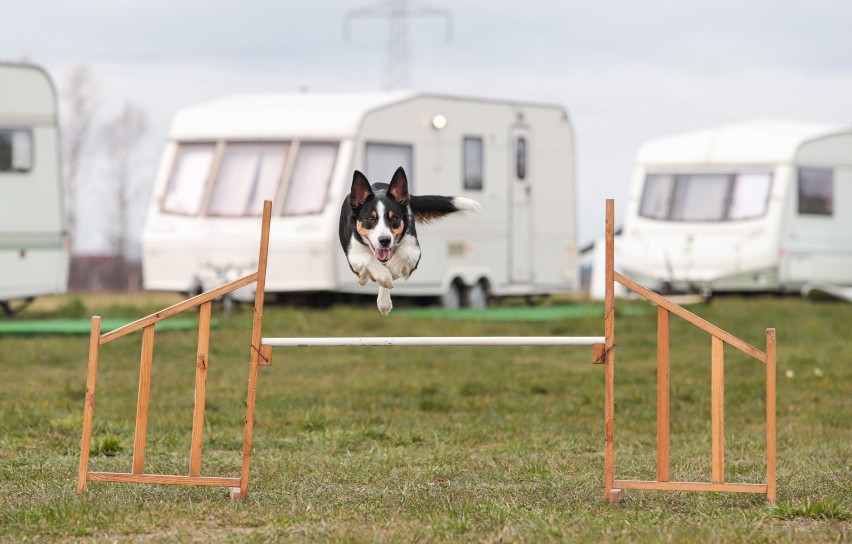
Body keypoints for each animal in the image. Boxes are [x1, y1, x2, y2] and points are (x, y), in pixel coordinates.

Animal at [342, 167, 486, 314]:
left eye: (394, 218)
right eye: (370, 219)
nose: (385, 240)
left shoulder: (415, 253)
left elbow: (403, 252)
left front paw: (392, 271)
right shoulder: (353, 256)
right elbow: (368, 258)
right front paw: (384, 275)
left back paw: (384, 301)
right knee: (363, 274)